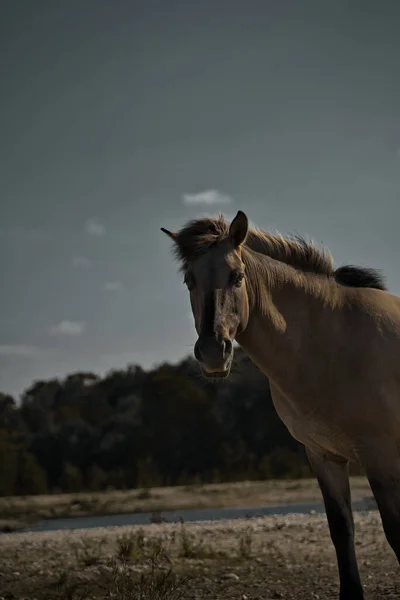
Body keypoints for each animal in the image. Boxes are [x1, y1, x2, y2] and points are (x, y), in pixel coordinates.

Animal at [162, 211, 400, 600]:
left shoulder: (380, 457)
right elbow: (341, 531)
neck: (331, 342)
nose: (213, 352)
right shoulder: (323, 456)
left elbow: (395, 533)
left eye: (237, 276)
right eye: (189, 280)